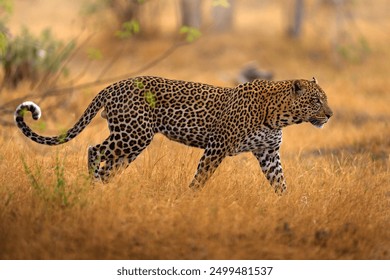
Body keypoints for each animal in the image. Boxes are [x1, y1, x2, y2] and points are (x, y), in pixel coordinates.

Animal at [14, 76, 332, 195]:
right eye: (316, 101)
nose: (330, 114)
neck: (280, 116)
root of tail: (114, 85)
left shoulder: (268, 153)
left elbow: (281, 183)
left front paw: (289, 208)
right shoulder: (217, 147)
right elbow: (201, 178)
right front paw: (190, 200)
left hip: (132, 142)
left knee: (109, 167)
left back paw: (105, 192)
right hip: (134, 134)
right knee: (94, 150)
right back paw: (92, 186)